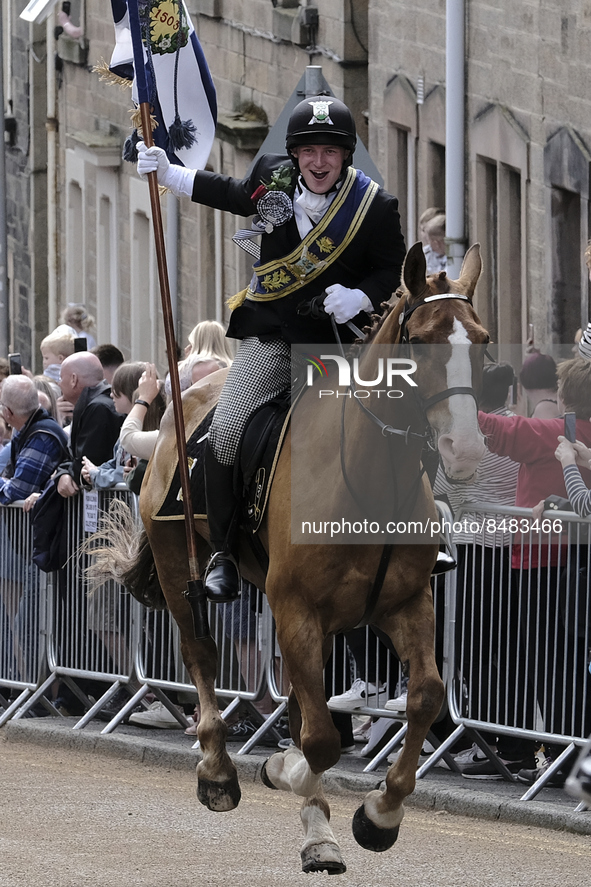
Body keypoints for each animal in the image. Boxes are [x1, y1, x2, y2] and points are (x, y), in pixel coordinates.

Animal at [114, 243, 486, 876]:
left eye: (481, 340)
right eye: (420, 340)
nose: (465, 452)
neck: (368, 476)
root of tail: (177, 409)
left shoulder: (407, 603)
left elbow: (424, 698)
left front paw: (379, 814)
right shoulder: (297, 612)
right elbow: (320, 740)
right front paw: (302, 797)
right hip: (177, 566)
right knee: (201, 654)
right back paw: (217, 771)